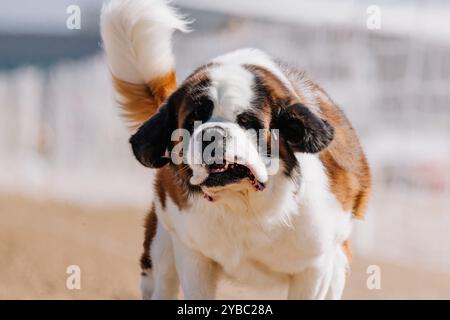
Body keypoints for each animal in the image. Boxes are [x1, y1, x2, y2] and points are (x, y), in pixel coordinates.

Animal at [101, 0, 370, 300]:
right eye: (193, 120)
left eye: (247, 121)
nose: (213, 135)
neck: (245, 204)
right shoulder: (193, 255)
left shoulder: (314, 267)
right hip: (164, 239)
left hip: (337, 263)